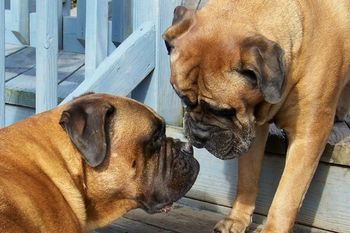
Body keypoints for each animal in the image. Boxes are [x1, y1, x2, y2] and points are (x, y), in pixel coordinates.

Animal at [163, 0, 350, 232]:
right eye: (184, 100)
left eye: (223, 111)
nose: (199, 134)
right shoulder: (252, 128)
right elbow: (247, 177)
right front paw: (237, 218)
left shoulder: (308, 136)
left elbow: (286, 197)